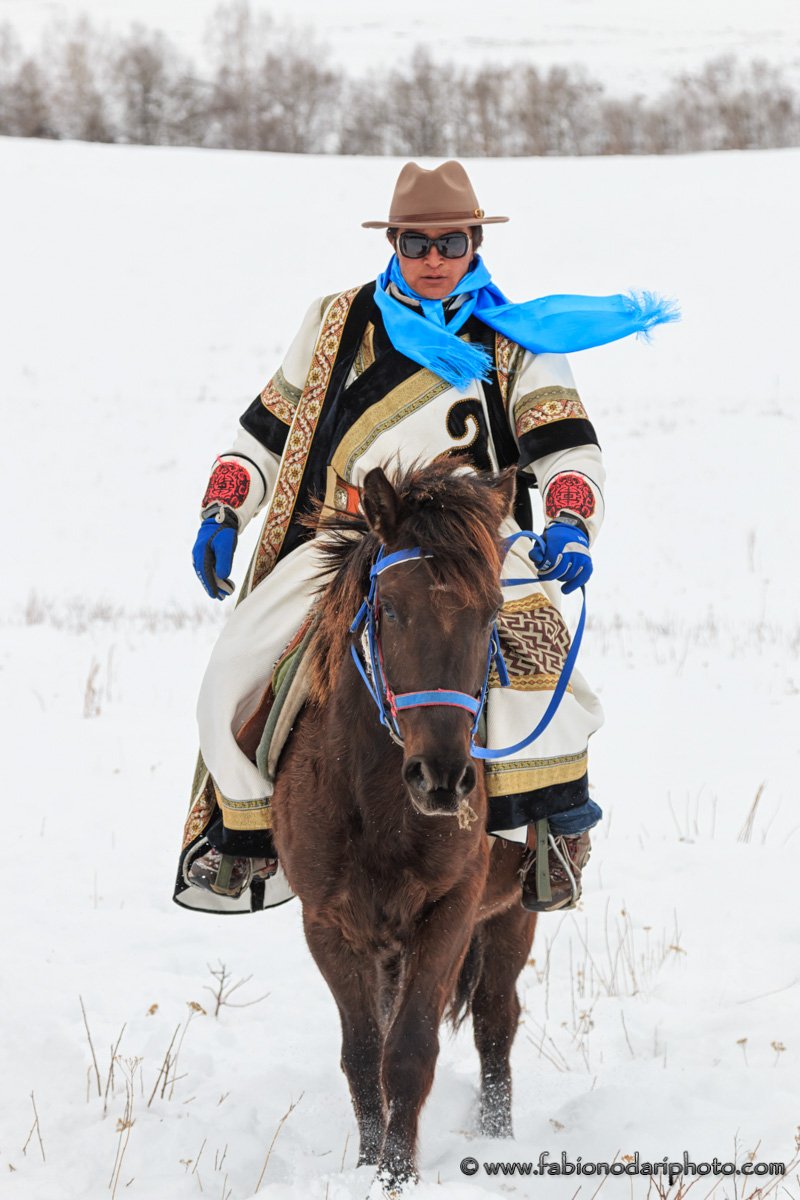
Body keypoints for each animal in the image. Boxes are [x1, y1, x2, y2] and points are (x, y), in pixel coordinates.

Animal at [272, 456, 542, 1190]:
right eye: (390, 608)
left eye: (491, 612)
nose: (443, 778)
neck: (377, 804)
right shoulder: (328, 922)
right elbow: (365, 1054)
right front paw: (370, 1166)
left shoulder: (452, 910)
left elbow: (410, 1051)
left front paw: (397, 1174)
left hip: (513, 912)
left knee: (496, 1020)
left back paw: (500, 1139)